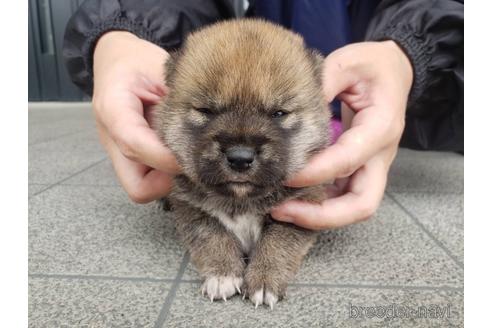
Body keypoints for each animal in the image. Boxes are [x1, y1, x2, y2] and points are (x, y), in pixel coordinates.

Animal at [153, 19, 330, 308]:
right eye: (206, 111)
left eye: (278, 113)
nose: (240, 157)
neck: (241, 200)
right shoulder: (191, 207)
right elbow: (212, 235)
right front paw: (222, 274)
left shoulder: (301, 208)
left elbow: (277, 241)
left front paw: (265, 279)